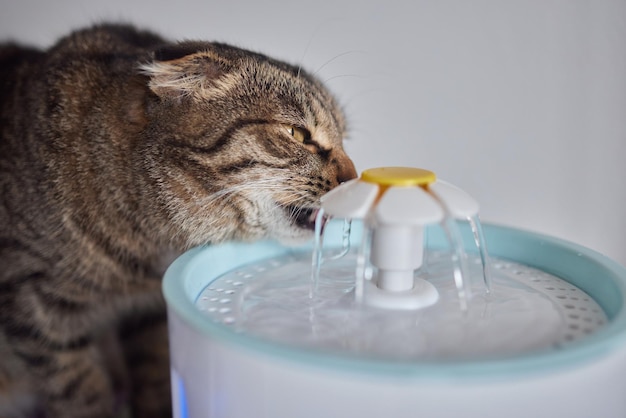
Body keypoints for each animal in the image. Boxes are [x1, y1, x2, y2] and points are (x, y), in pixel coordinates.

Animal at [0, 23, 356, 418]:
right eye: (297, 134)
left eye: (344, 136)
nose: (355, 177)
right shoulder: (34, 305)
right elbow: (78, 389)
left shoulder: (150, 314)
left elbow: (154, 374)